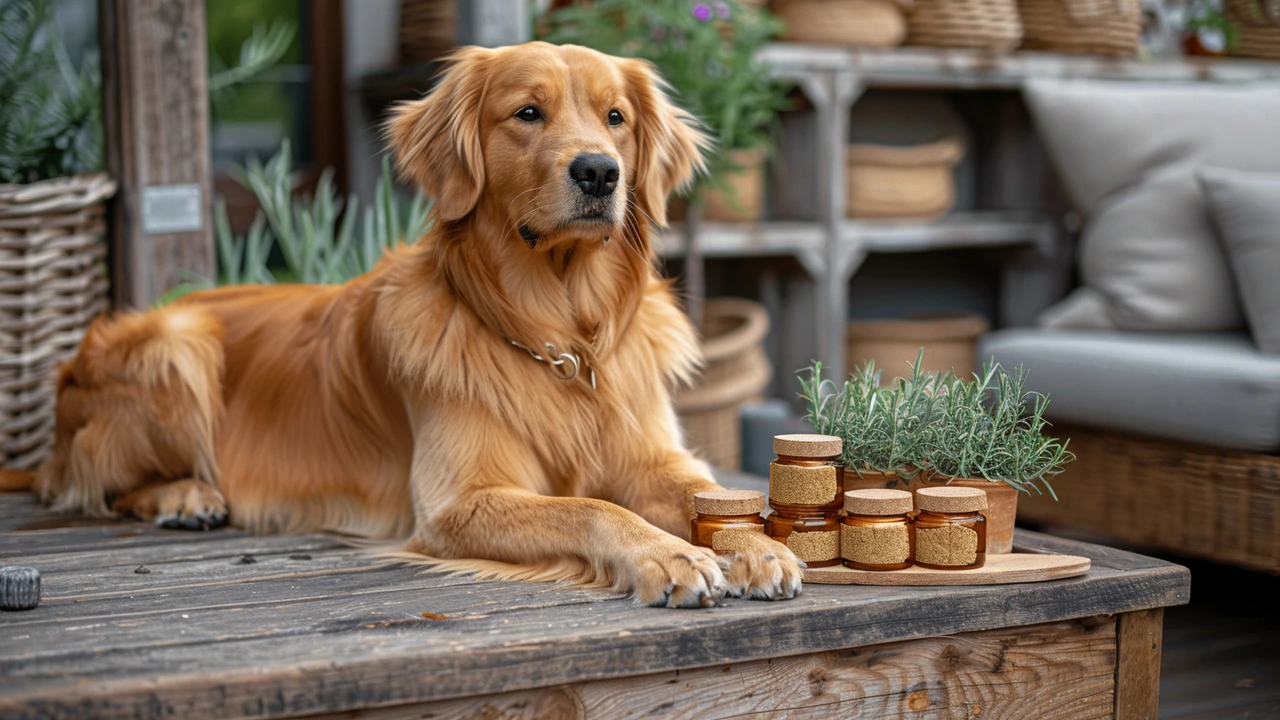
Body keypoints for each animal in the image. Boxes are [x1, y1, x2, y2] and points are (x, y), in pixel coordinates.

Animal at [12, 41, 798, 604]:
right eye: (527, 113)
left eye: (616, 118)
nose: (600, 173)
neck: (561, 337)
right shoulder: (460, 502)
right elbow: (590, 508)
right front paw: (669, 554)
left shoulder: (650, 457)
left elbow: (711, 496)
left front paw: (754, 546)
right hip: (179, 347)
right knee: (86, 481)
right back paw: (187, 494)